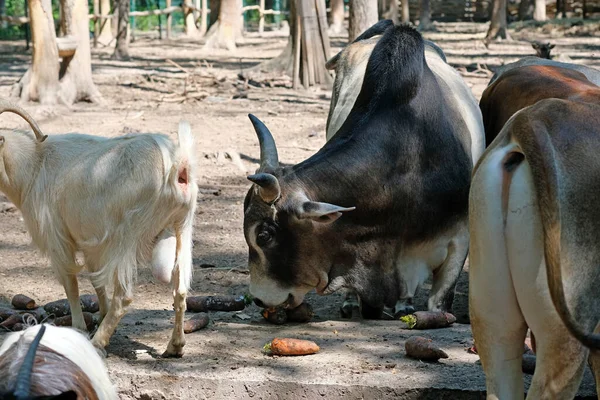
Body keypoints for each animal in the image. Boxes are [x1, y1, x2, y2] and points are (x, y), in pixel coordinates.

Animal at [0, 99, 202, 356]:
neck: (35, 165)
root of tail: (178, 165)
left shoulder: (57, 238)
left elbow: (71, 284)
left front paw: (79, 328)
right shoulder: (90, 242)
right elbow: (96, 282)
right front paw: (100, 317)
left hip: (128, 234)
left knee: (124, 296)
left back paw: (97, 344)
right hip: (182, 226)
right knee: (181, 290)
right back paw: (174, 347)